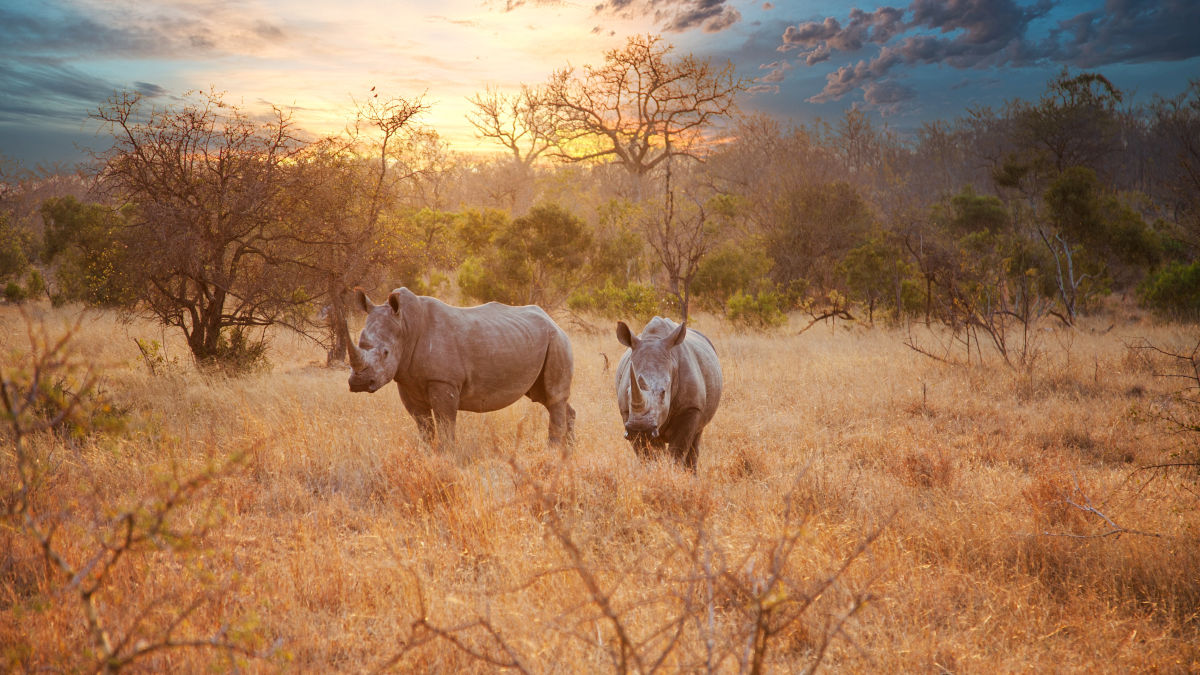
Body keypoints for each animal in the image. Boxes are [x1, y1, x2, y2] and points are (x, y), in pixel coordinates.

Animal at [340, 284, 578, 446]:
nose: (359, 383)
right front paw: (428, 456)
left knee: (553, 397)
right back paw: (568, 452)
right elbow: (424, 427)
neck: (405, 326)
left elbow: (445, 426)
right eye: (360, 344)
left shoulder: (444, 381)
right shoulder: (406, 381)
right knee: (544, 396)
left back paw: (552, 452)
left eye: (386, 353)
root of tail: (554, 322)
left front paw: (446, 459)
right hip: (536, 340)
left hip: (556, 340)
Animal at [619, 317, 720, 468]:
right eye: (628, 392)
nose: (640, 427)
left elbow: (677, 452)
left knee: (696, 438)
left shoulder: (691, 407)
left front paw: (673, 471)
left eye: (663, 392)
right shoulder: (627, 413)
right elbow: (646, 455)